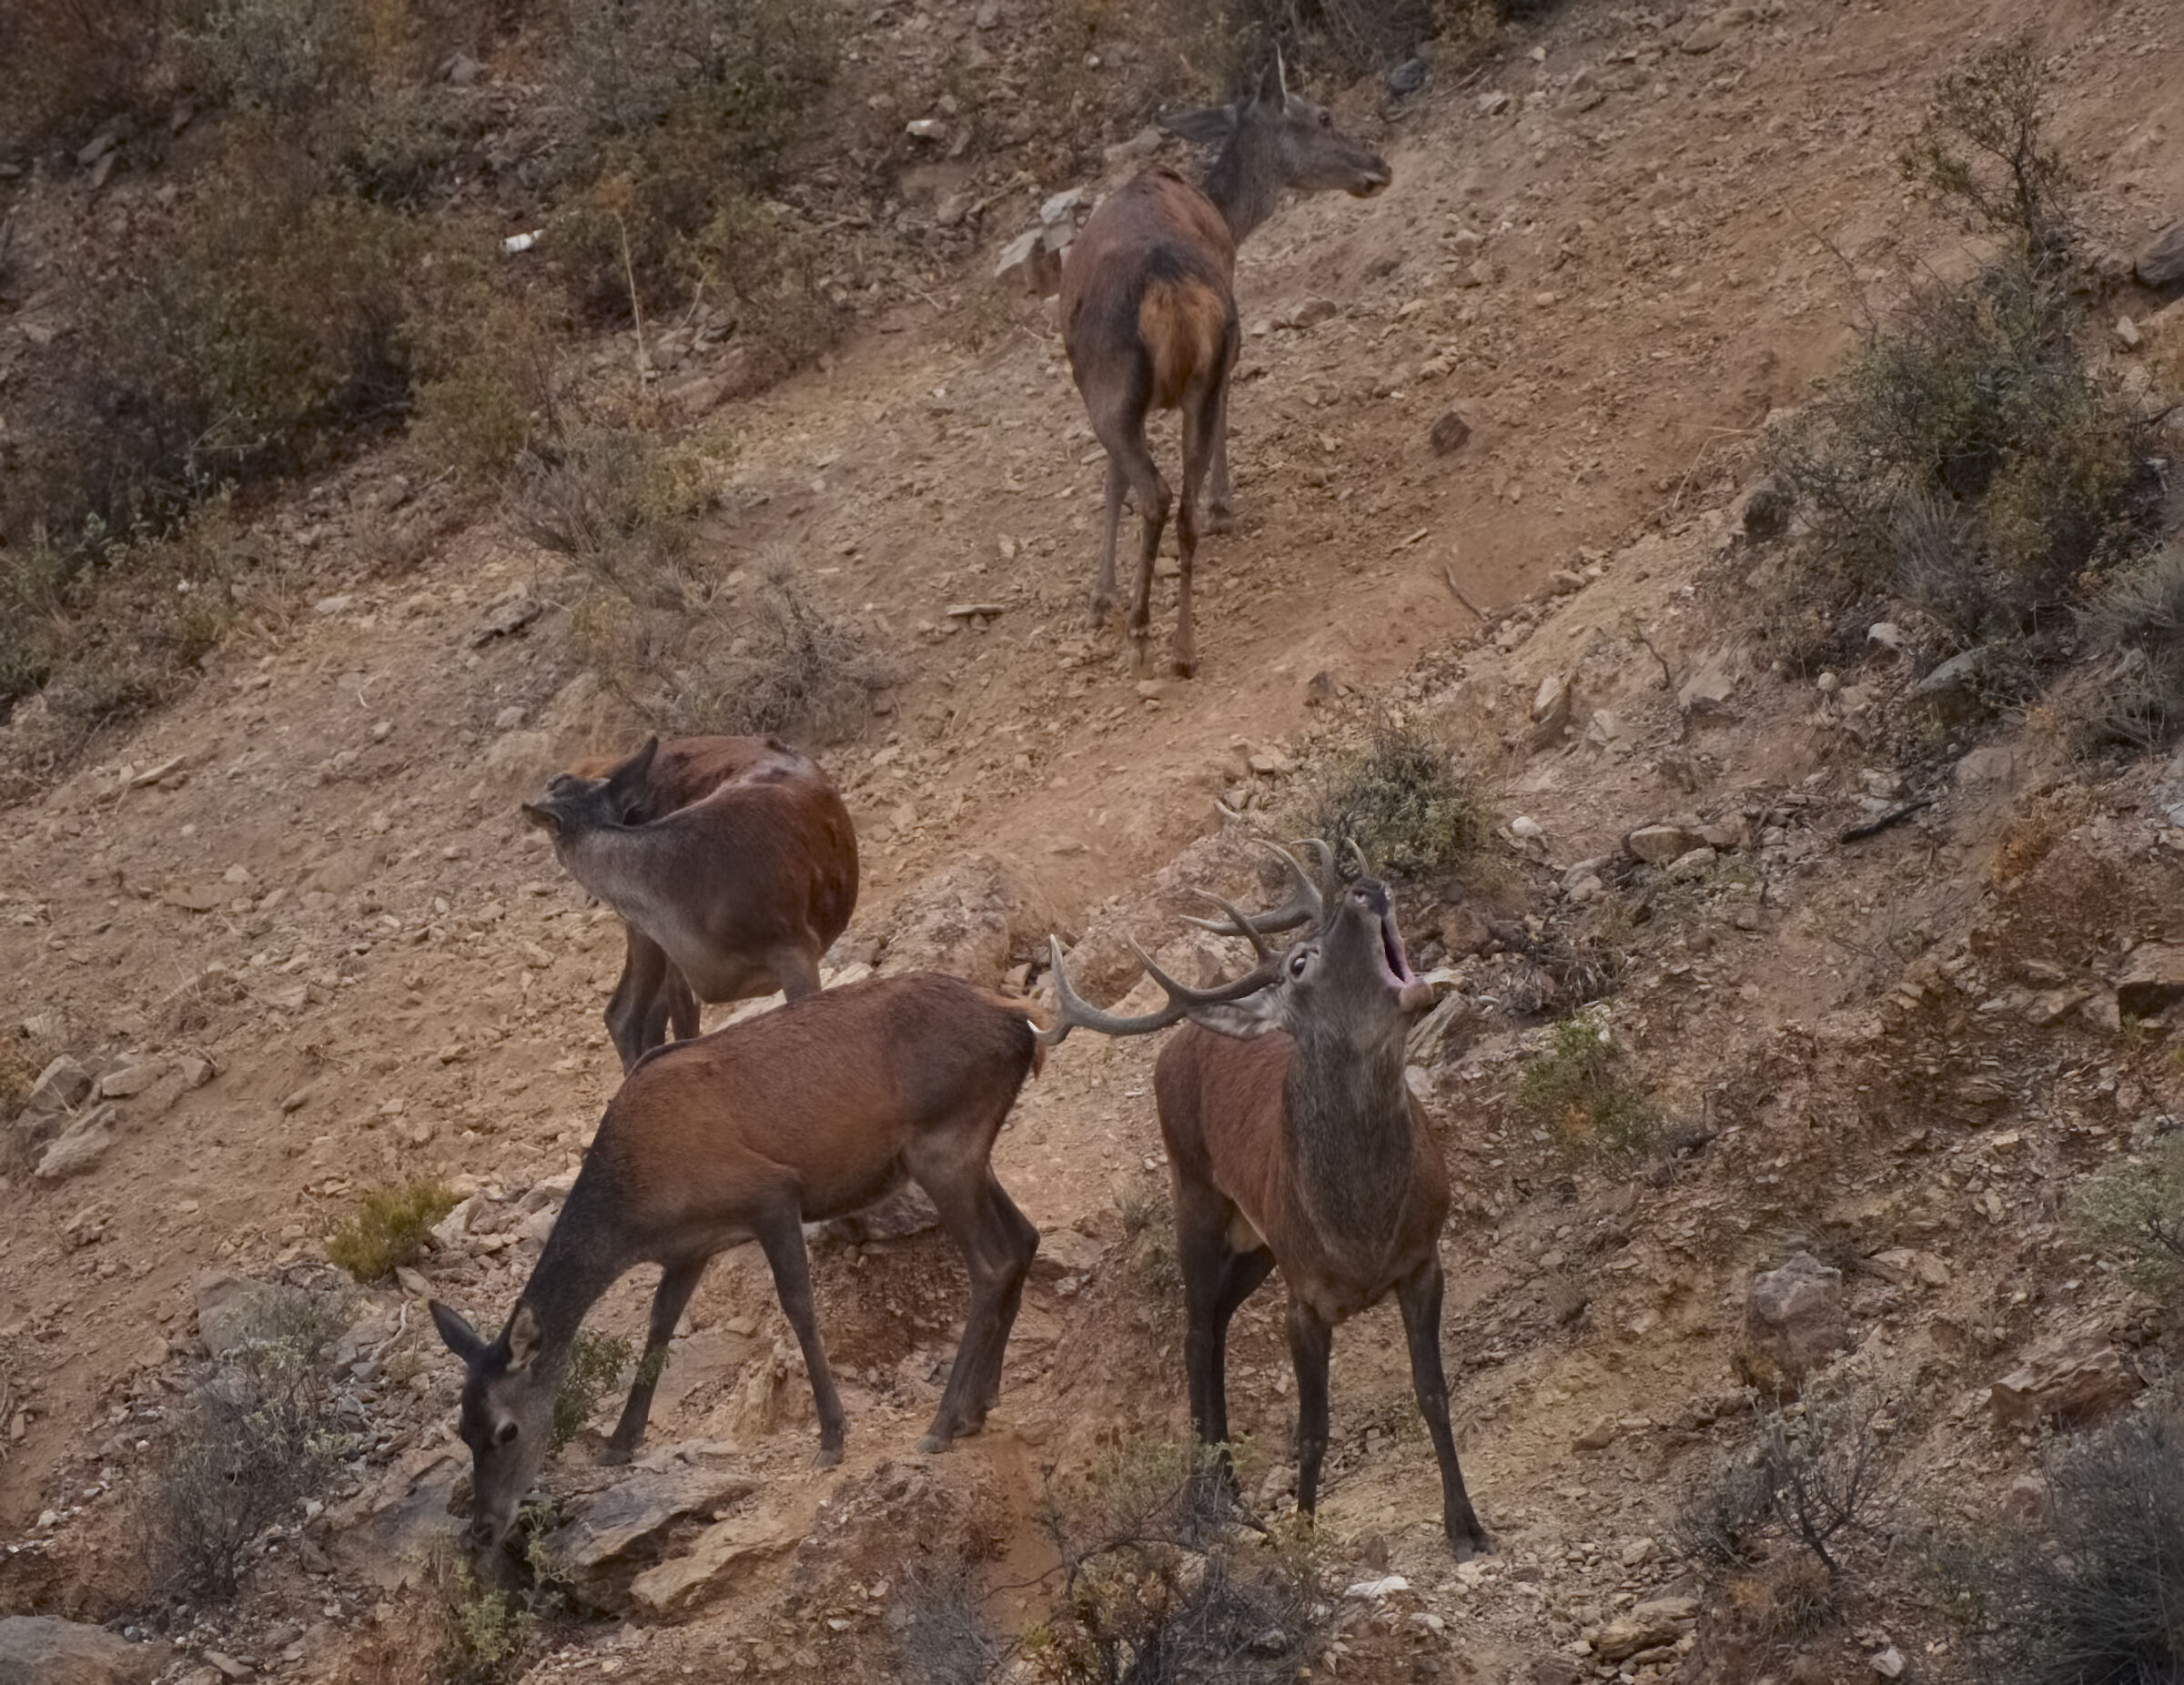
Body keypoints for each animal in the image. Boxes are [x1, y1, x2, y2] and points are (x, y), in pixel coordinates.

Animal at [429, 971, 1044, 1551]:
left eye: (506, 1431)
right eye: (461, 1429)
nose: (483, 1529)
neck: (637, 1207)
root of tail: (1022, 1025)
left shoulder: (770, 1193)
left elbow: (799, 1307)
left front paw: (832, 1436)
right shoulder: (689, 1249)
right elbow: (659, 1327)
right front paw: (620, 1443)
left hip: (943, 1143)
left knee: (991, 1264)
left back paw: (943, 1422)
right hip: (968, 1152)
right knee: (1025, 1240)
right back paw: (978, 1405)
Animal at [1038, 840, 1492, 1559]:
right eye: (1300, 962)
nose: (1366, 887)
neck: (1362, 1230)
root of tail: (1178, 1041)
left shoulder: (1423, 1260)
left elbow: (1434, 1393)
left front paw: (1466, 1526)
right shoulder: (1303, 1301)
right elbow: (1311, 1432)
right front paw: (1301, 1547)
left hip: (1259, 1243)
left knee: (1220, 1320)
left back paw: (1227, 1486)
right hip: (1194, 1190)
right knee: (1197, 1330)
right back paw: (1201, 1504)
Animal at [1060, 51, 1390, 678]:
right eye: (1324, 115)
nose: (1380, 165)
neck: (1225, 215)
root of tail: (1169, 287)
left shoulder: (1108, 396)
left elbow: (1113, 481)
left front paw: (1102, 596)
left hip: (1115, 386)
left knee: (1157, 493)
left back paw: (1142, 635)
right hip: (1194, 372)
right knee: (1179, 502)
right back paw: (1184, 647)